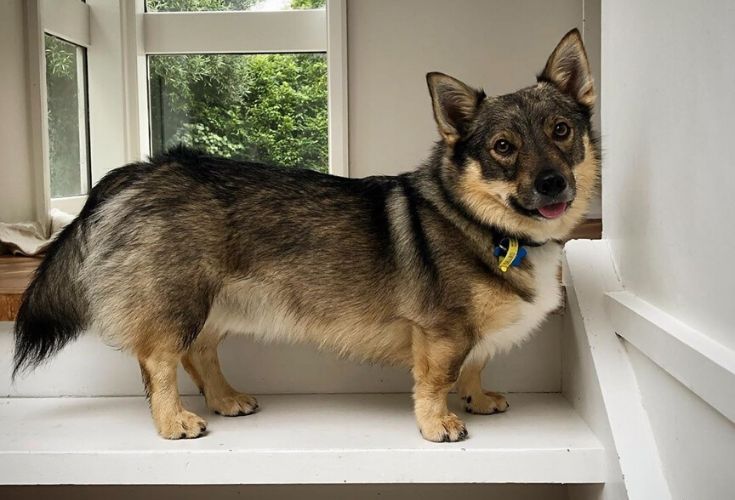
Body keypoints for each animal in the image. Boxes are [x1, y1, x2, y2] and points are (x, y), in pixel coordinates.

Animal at [11, 28, 600, 442]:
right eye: (503, 147)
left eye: (561, 131)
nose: (553, 183)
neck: (486, 222)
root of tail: (140, 170)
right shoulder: (441, 333)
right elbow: (438, 381)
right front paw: (440, 424)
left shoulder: (469, 336)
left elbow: (477, 363)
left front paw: (477, 397)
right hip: (179, 301)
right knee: (159, 361)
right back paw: (174, 420)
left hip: (214, 307)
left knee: (199, 355)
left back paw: (225, 399)